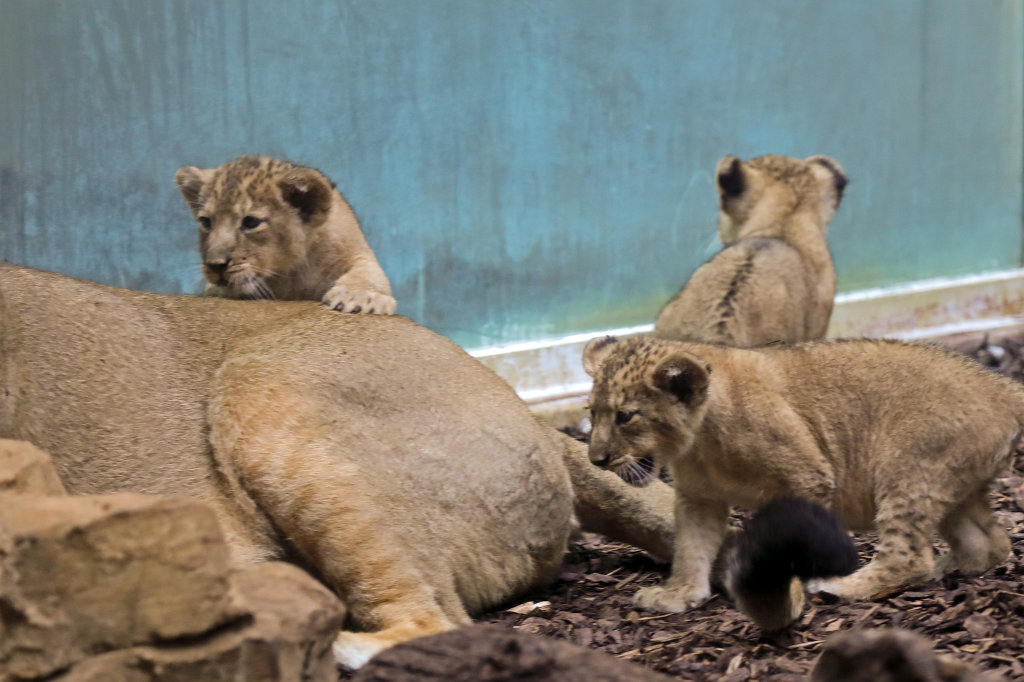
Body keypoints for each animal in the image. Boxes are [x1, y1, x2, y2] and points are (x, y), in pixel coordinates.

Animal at [175, 155, 396, 314]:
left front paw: (359, 296)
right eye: (206, 222)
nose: (215, 265)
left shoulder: (355, 251)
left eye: (250, 222)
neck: (290, 273)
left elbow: (369, 272)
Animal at [582, 334, 1019, 622]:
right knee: (992, 543)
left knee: (909, 556)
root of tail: (1005, 386)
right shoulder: (699, 498)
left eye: (625, 416)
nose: (596, 458)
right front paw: (680, 594)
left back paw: (842, 585)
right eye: (592, 412)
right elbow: (690, 549)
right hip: (953, 484)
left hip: (909, 471)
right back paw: (953, 566)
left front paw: (784, 599)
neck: (699, 444)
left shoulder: (808, 477)